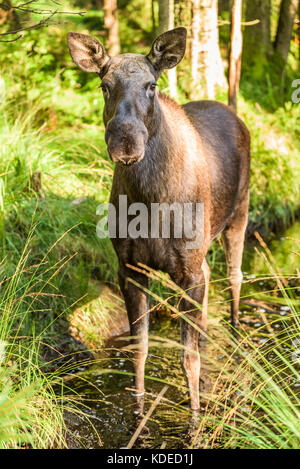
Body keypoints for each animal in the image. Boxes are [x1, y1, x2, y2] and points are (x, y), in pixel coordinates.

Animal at [68, 28, 251, 410]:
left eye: (151, 85)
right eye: (104, 84)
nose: (125, 141)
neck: (150, 202)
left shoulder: (188, 273)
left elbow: (188, 360)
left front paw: (196, 414)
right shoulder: (131, 267)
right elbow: (139, 350)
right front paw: (138, 406)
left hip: (239, 211)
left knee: (235, 276)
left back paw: (236, 330)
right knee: (212, 279)